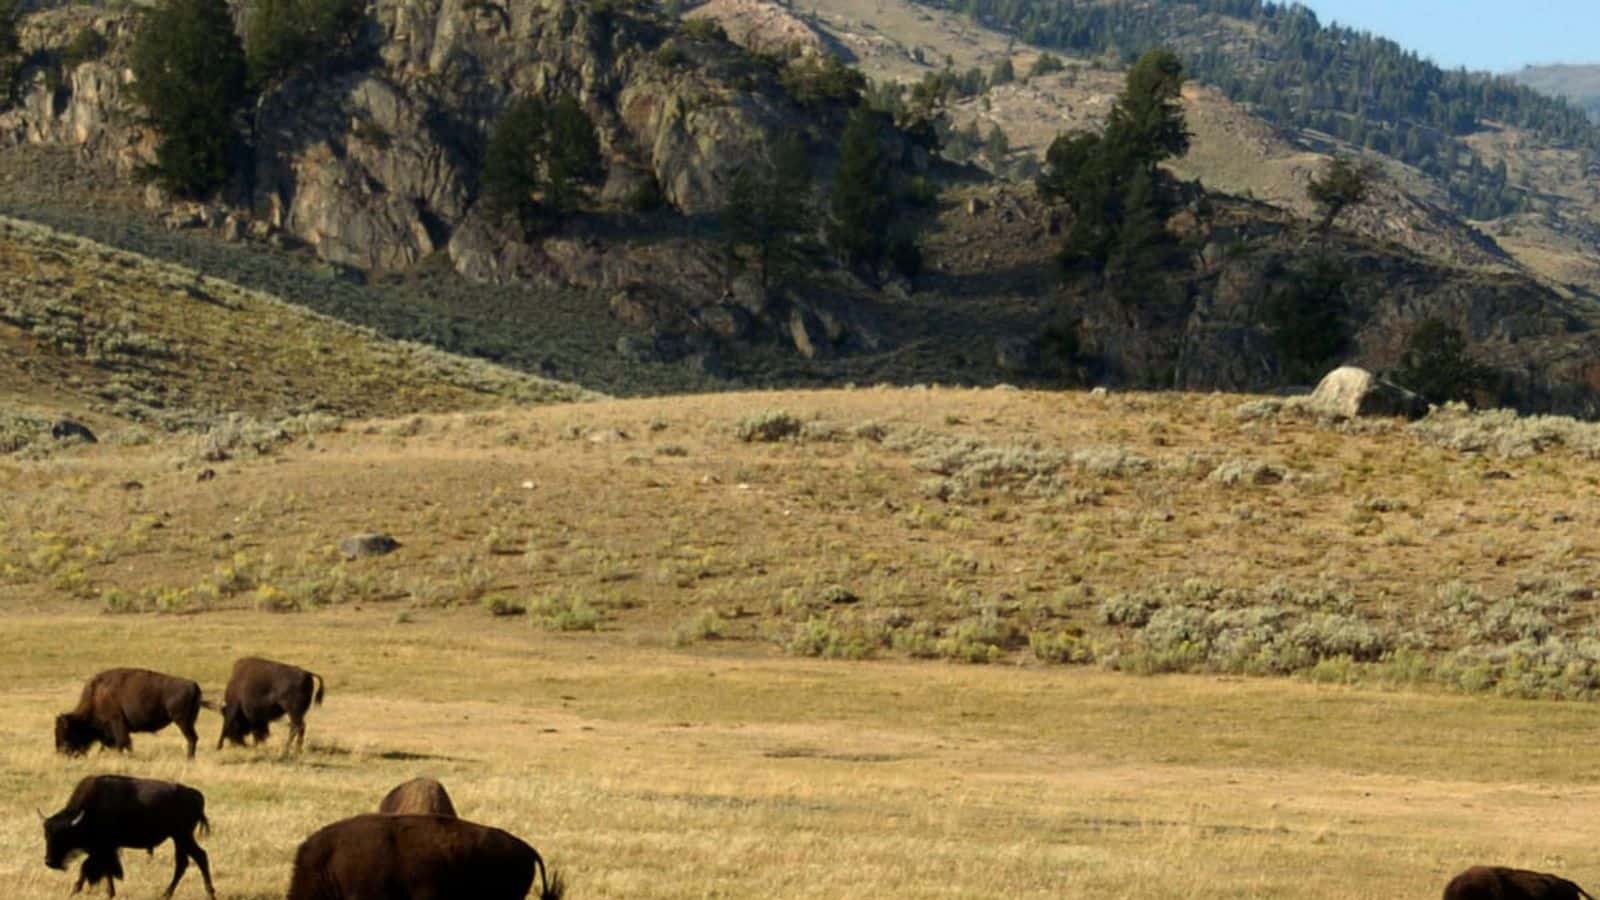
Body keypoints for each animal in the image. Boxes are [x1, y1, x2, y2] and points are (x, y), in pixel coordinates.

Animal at [40, 774, 216, 899]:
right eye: (46, 836)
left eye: (65, 836)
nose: (49, 862)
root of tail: (195, 795)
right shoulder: (104, 850)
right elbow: (106, 870)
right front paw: (109, 893)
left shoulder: (103, 848)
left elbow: (88, 867)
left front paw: (74, 891)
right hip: (178, 838)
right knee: (183, 862)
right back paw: (166, 894)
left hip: (183, 836)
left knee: (200, 857)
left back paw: (208, 893)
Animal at [56, 668, 208, 760]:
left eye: (66, 733)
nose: (61, 753)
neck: (96, 696)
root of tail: (193, 685)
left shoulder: (117, 723)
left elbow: (122, 742)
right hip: (188, 722)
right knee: (193, 738)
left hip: (182, 722)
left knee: (191, 738)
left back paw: (189, 759)